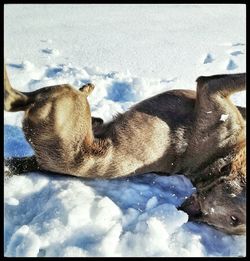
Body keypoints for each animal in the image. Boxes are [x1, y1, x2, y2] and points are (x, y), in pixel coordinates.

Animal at [3, 64, 246, 234]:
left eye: (233, 220)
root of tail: (41, 160)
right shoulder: (210, 90)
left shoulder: (209, 90)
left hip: (65, 99)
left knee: (15, 99)